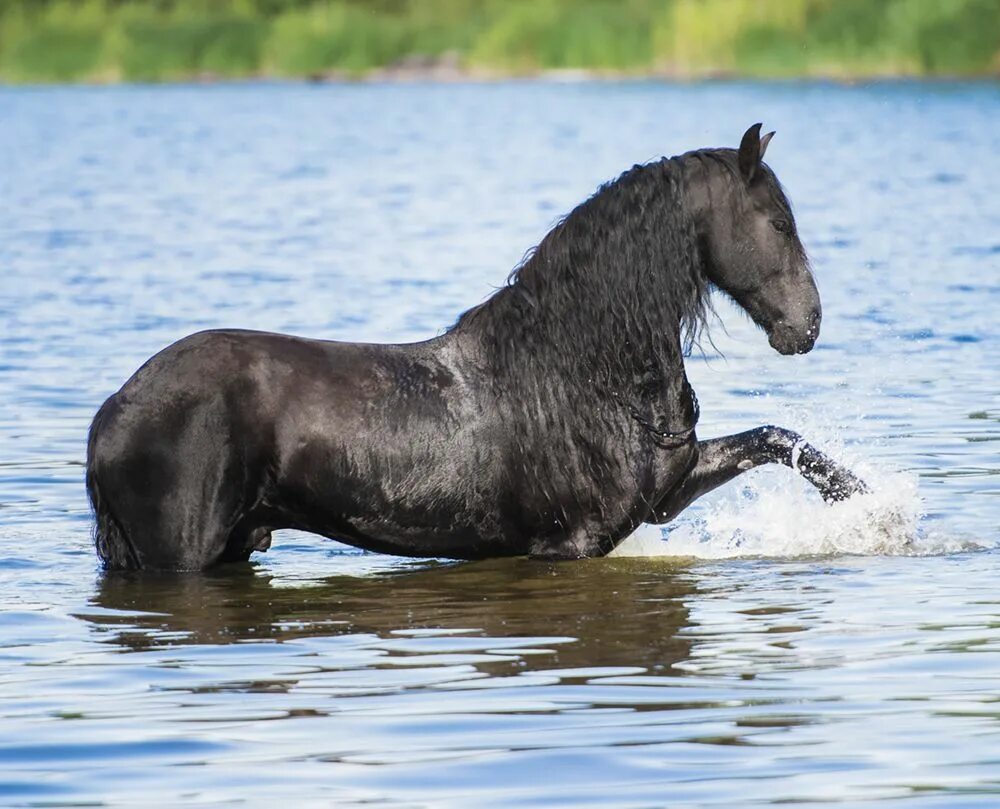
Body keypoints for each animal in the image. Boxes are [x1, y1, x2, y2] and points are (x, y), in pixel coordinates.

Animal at [86, 123, 868, 572]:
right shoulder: (568, 544)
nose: (806, 325)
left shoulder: (665, 496)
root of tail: (112, 412)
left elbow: (776, 438)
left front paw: (861, 500)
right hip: (182, 557)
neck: (585, 373)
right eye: (776, 222)